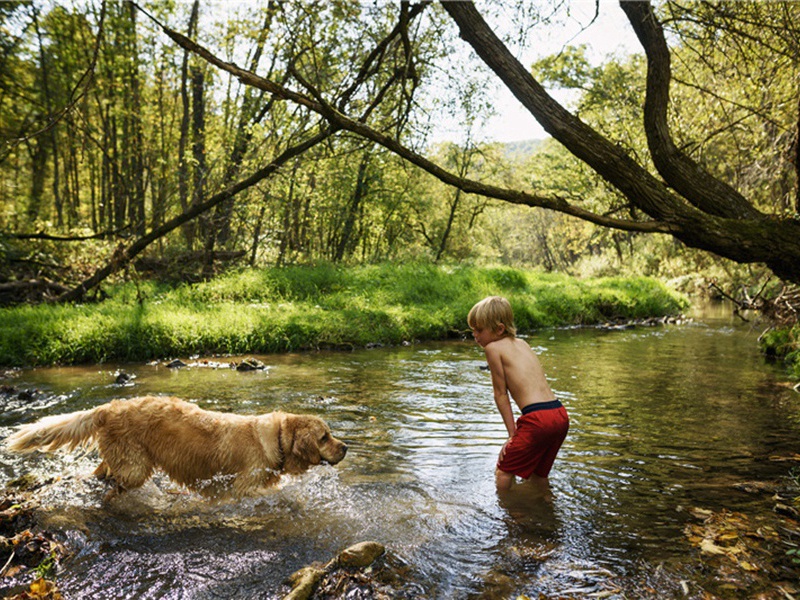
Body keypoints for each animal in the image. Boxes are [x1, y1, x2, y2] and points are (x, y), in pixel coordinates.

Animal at [3, 396, 346, 500]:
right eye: (324, 437)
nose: (345, 447)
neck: (275, 437)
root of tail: (109, 407)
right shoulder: (242, 486)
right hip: (136, 466)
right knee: (117, 480)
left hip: (122, 458)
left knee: (101, 470)